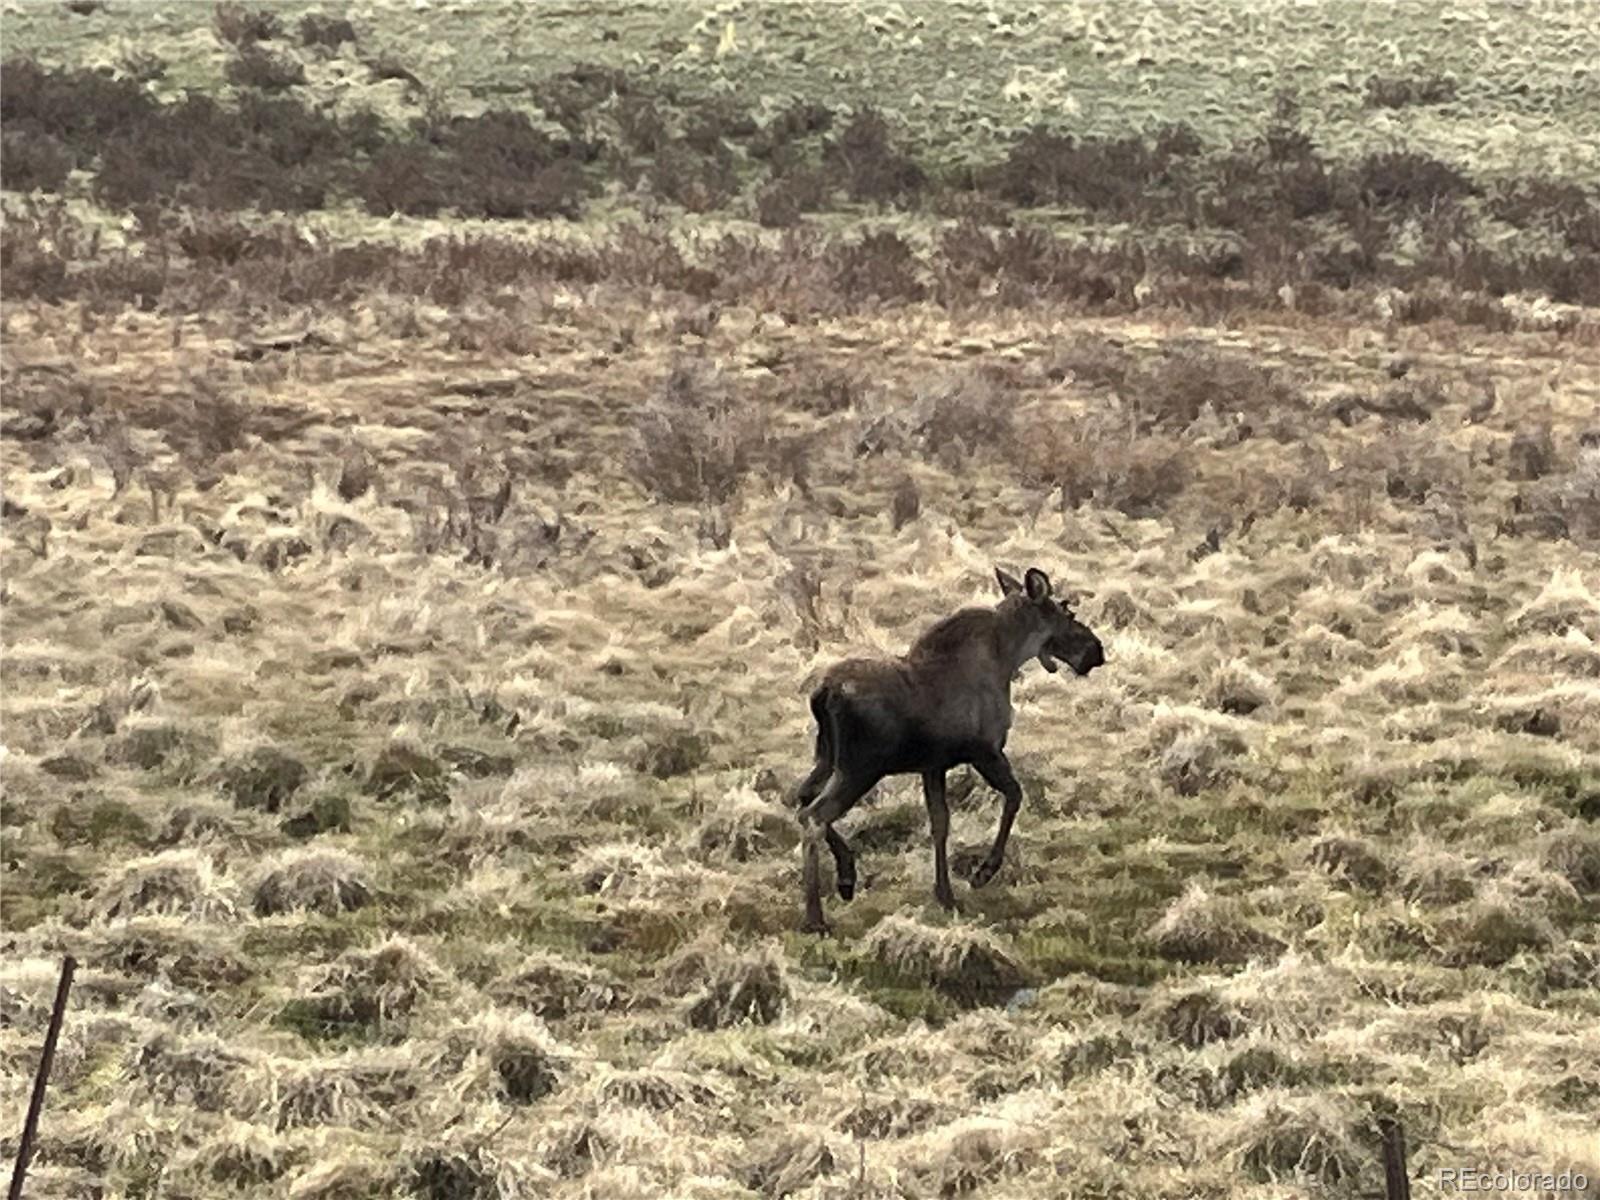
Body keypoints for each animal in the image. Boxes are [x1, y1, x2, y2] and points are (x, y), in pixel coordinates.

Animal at [796, 569, 1107, 934]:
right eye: (1068, 614)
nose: (1096, 650)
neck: (1006, 660)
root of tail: (822, 693)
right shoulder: (985, 752)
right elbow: (1014, 796)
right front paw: (983, 873)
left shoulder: (933, 766)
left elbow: (940, 824)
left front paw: (944, 894)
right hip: (859, 769)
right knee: (814, 816)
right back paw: (815, 916)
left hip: (826, 758)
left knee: (801, 799)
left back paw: (846, 876)